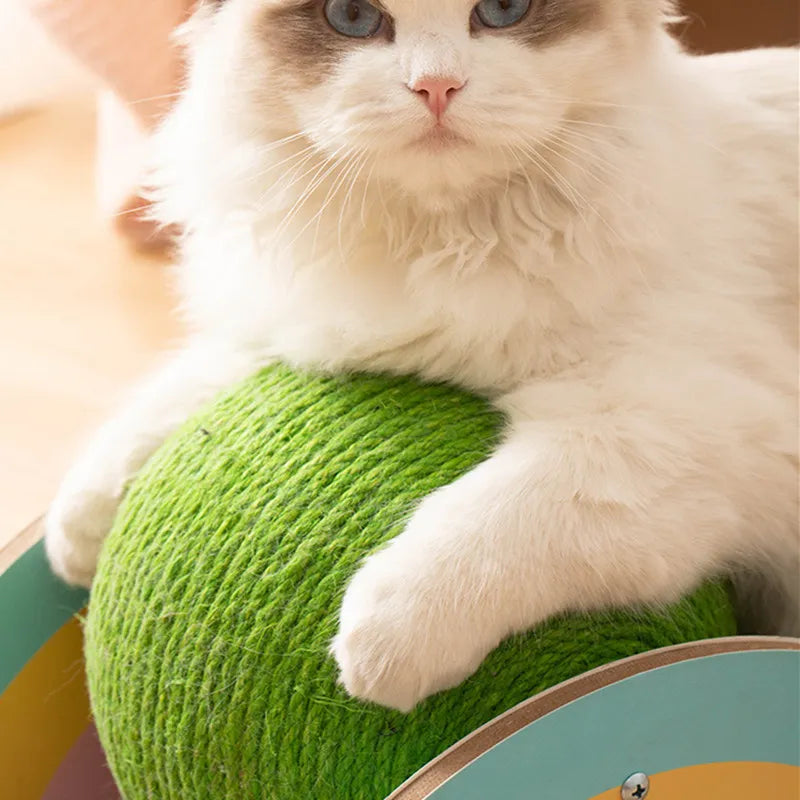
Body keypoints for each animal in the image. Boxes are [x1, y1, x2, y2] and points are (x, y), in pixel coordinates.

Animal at [47, 0, 796, 712]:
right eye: (352, 17)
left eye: (504, 10)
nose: (437, 86)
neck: (443, 242)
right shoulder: (303, 326)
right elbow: (168, 401)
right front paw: (76, 532)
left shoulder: (668, 426)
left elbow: (498, 517)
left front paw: (384, 638)